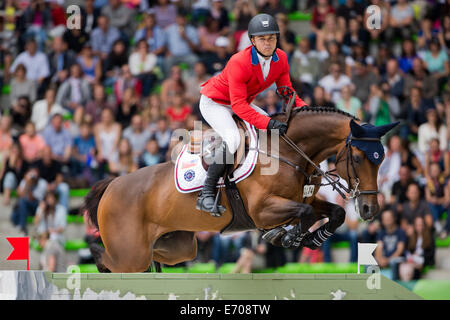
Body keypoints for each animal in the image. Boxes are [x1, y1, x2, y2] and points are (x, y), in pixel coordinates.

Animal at [83, 106, 398, 272]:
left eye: (382, 159)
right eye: (357, 159)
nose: (369, 209)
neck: (289, 151)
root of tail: (111, 185)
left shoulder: (304, 199)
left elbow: (334, 213)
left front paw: (311, 238)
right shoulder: (262, 209)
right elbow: (304, 213)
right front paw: (286, 236)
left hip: (178, 246)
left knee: (154, 257)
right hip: (130, 254)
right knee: (110, 258)